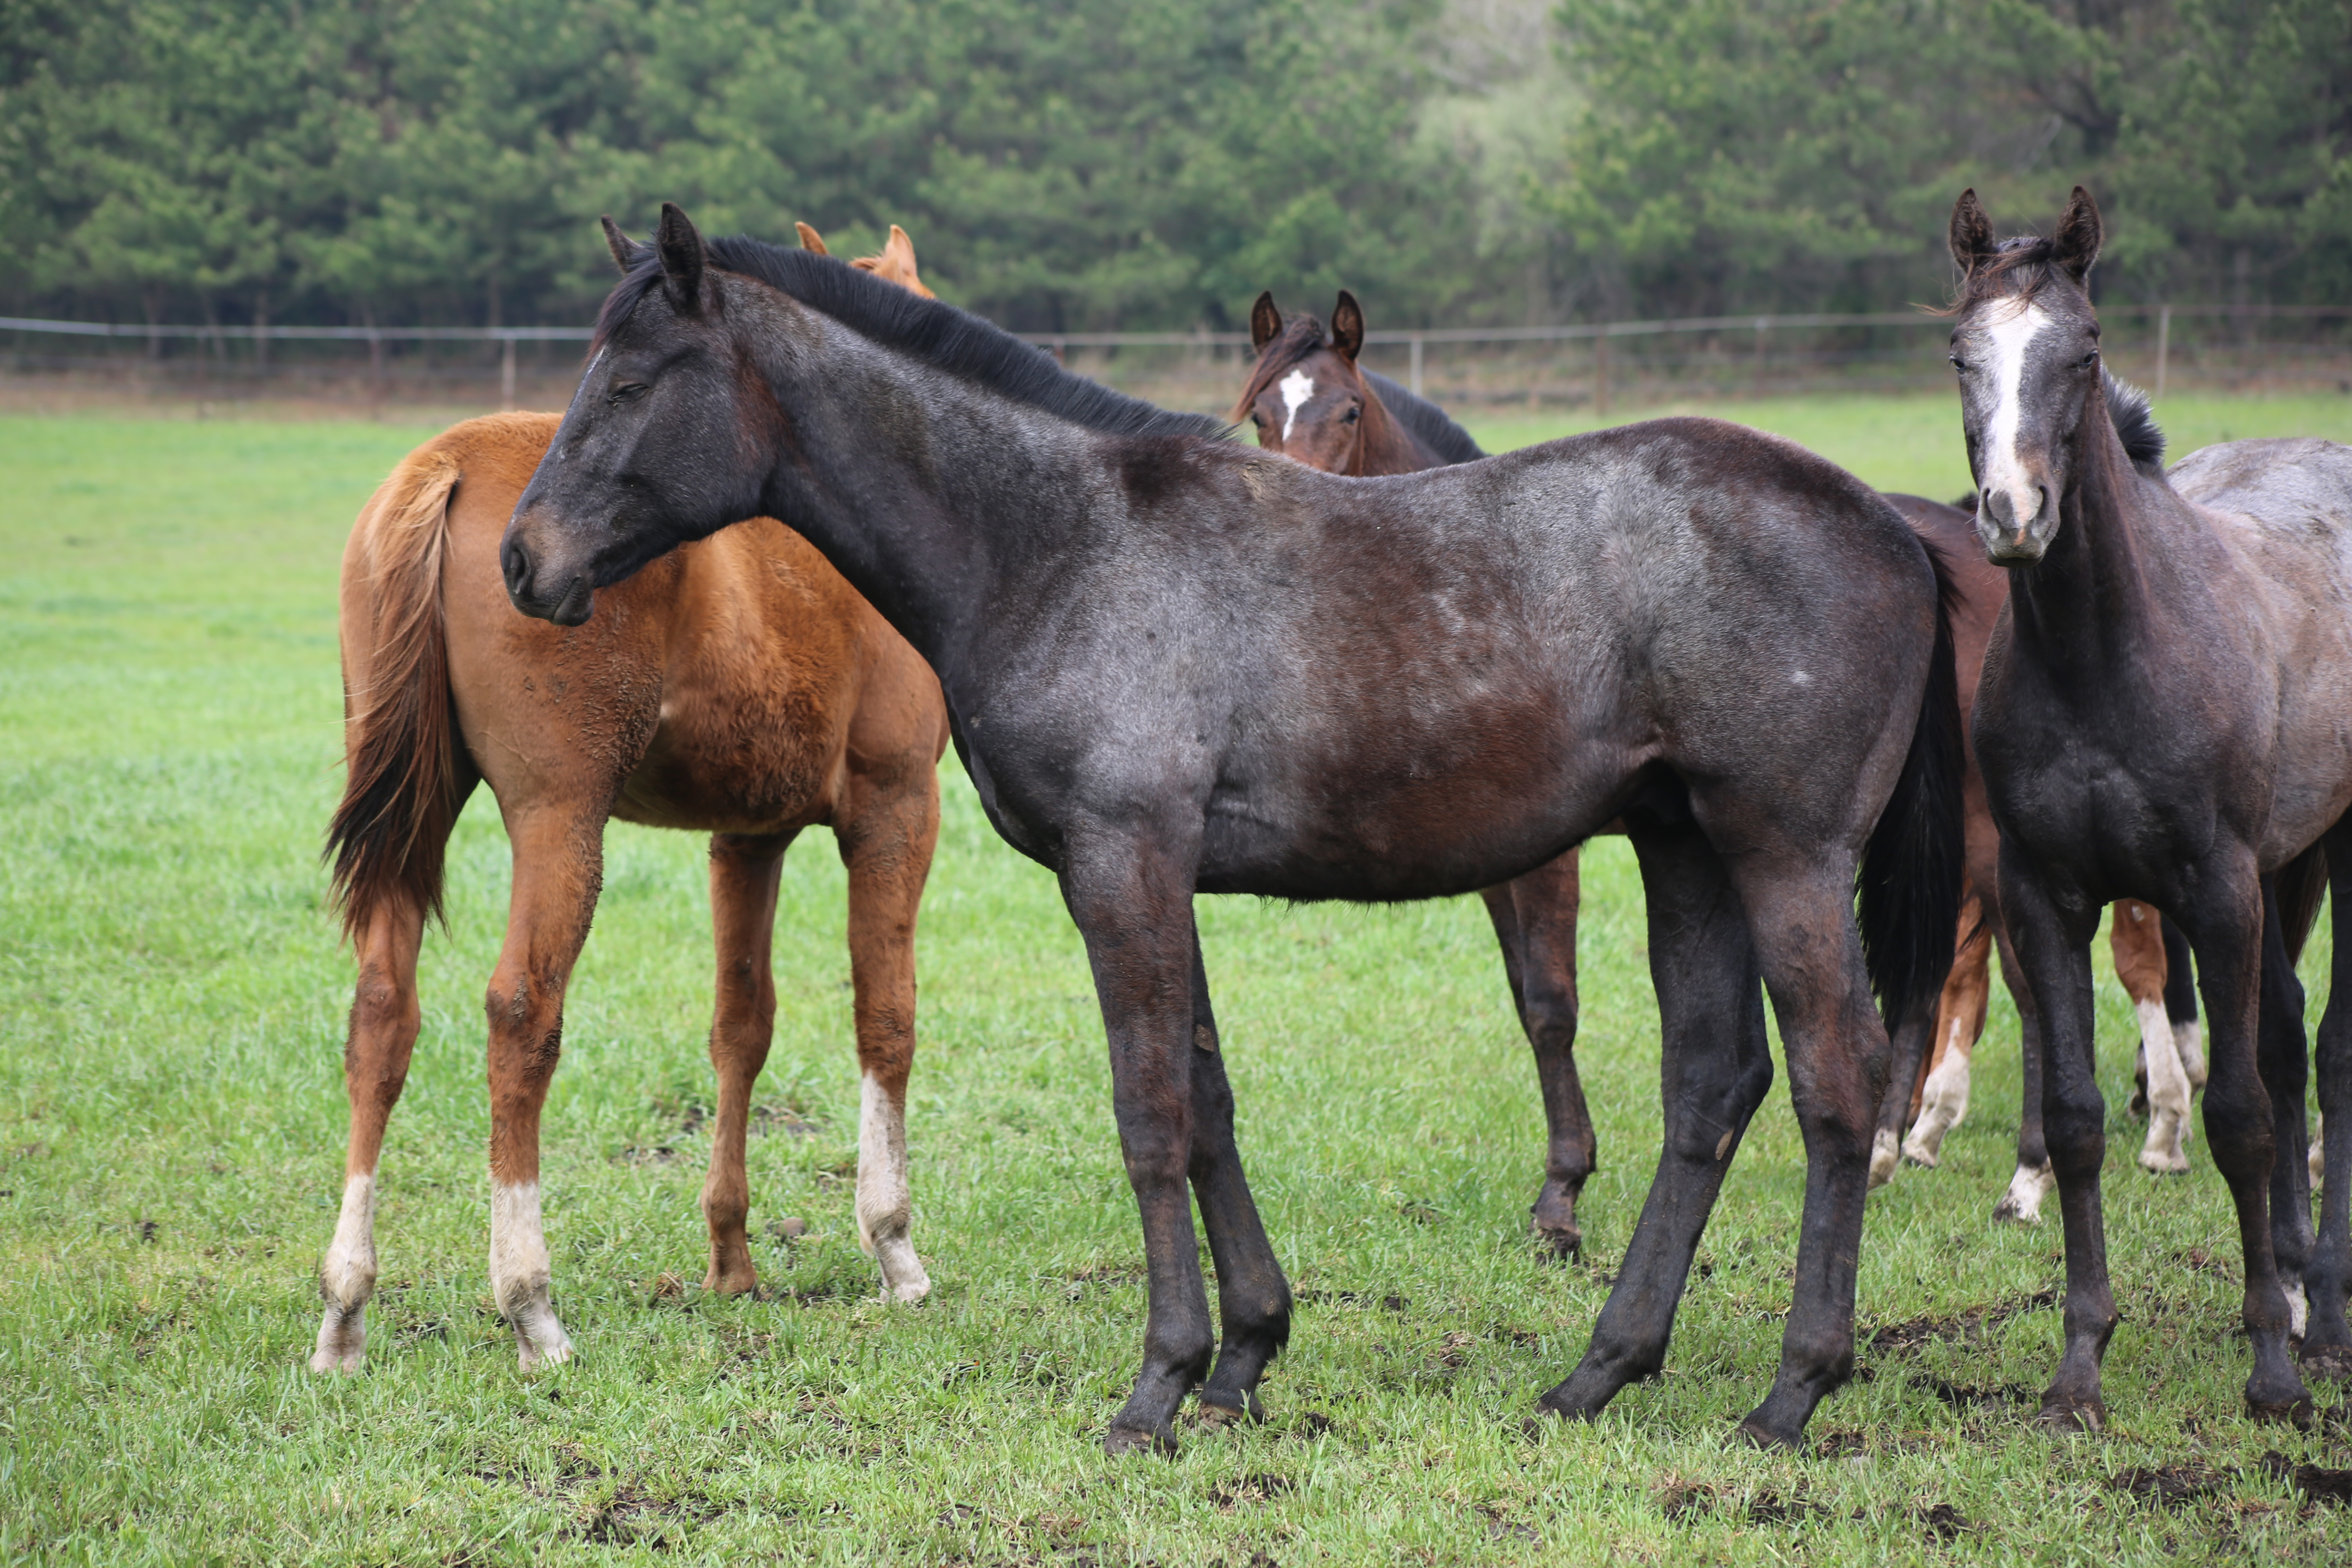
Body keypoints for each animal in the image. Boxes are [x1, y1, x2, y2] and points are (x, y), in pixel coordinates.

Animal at [310, 232, 945, 1373]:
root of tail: (447, 463)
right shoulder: (896, 810)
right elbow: (885, 1017)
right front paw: (893, 1247)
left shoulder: (747, 837)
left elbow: (741, 1025)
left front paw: (731, 1258)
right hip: (561, 823)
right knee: (521, 1013)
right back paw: (529, 1302)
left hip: (419, 818)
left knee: (382, 1014)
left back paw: (346, 1305)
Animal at [501, 208, 1966, 1457]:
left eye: (631, 385)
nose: (525, 563)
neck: (1059, 543)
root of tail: (1894, 528)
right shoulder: (1161, 876)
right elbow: (1206, 1103)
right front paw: (1248, 1356)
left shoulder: (1122, 864)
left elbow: (1149, 1112)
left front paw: (1158, 1385)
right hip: (1687, 850)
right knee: (1711, 1086)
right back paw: (1599, 1371)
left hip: (1783, 857)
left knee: (1838, 1082)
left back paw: (1792, 1392)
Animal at [1251, 291, 2201, 1222]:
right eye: (1260, 412)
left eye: (1347, 409)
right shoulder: (1495, 861)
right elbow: (1528, 1002)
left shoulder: (1552, 860)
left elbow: (1553, 1008)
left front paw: (1563, 1191)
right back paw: (1899, 1144)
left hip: (1976, 833)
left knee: (2023, 982)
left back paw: (2034, 1170)